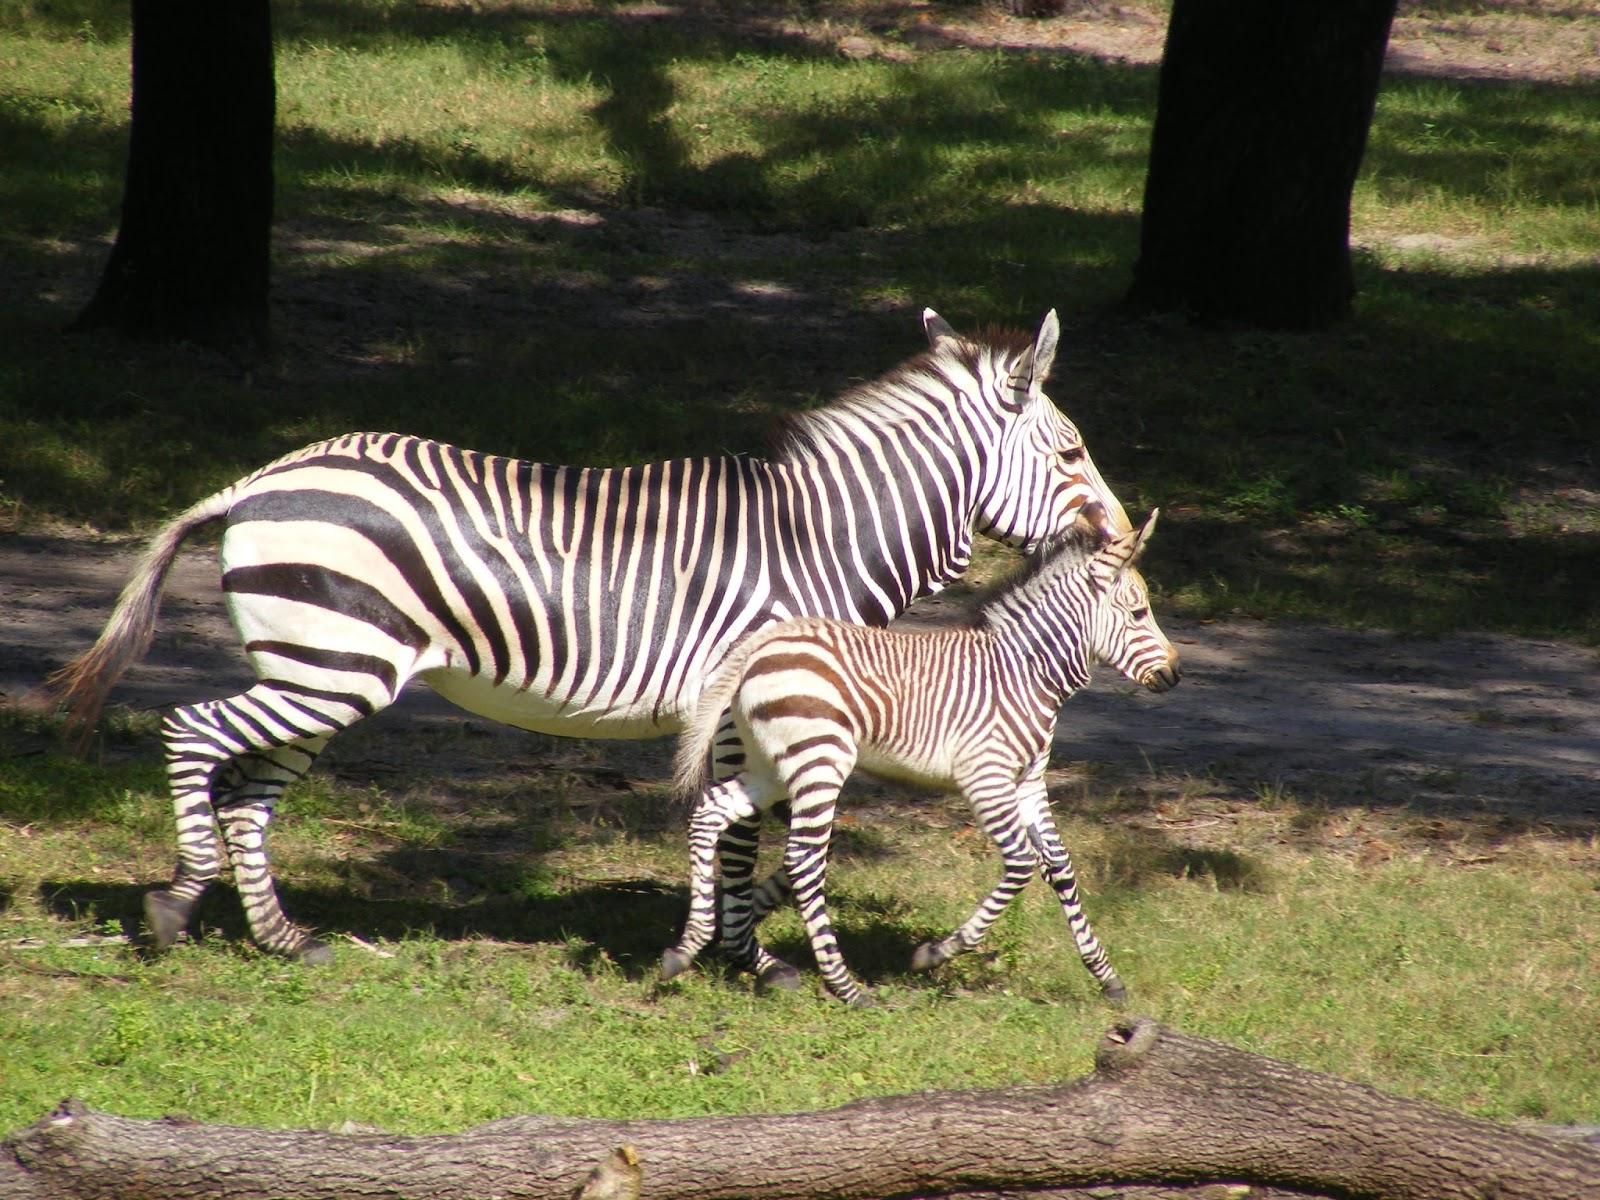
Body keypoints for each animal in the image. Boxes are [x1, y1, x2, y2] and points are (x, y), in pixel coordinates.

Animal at [41, 308, 1130, 967]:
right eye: (1075, 451)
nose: (1122, 541)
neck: (813, 537)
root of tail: (256, 479)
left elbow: (746, 829)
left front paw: (736, 948)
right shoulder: (754, 706)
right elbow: (746, 831)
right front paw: (750, 959)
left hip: (325, 668)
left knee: (253, 790)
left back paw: (286, 938)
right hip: (330, 665)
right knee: (192, 735)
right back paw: (178, 904)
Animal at [664, 506, 1178, 1007]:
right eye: (1137, 613)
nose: (1174, 674)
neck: (1023, 671)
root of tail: (759, 645)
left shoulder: (1028, 782)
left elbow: (1060, 867)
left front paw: (1106, 977)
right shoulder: (986, 777)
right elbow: (1020, 864)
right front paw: (936, 953)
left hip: (771, 764)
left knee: (710, 814)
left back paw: (688, 947)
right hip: (819, 762)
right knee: (804, 860)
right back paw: (847, 988)